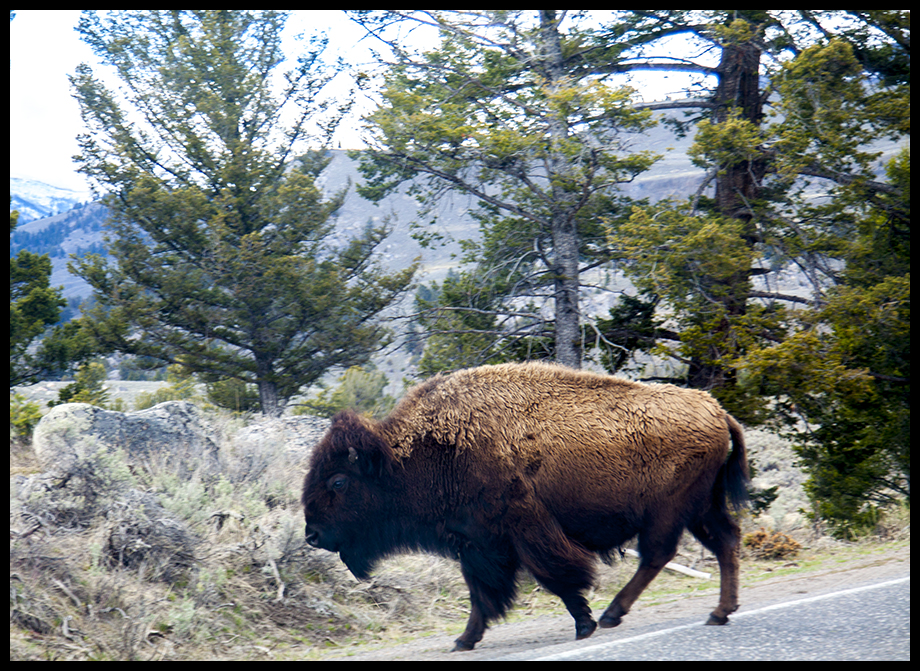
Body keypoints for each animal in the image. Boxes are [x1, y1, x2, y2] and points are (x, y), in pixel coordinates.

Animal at [302, 362, 748, 652]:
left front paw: (584, 624)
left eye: (338, 481)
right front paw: (463, 640)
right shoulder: (477, 543)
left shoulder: (522, 530)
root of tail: (718, 410)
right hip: (701, 508)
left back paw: (613, 614)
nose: (311, 534)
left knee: (658, 553)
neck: (416, 454)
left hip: (671, 511)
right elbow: (482, 593)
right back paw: (719, 613)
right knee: (725, 542)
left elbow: (557, 576)